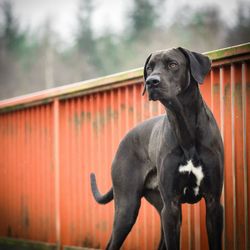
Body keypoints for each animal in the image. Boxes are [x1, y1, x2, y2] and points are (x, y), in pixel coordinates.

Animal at [91, 47, 224, 249]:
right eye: (149, 68)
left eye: (173, 64)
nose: (151, 81)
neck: (184, 125)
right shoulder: (171, 207)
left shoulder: (213, 202)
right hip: (127, 207)